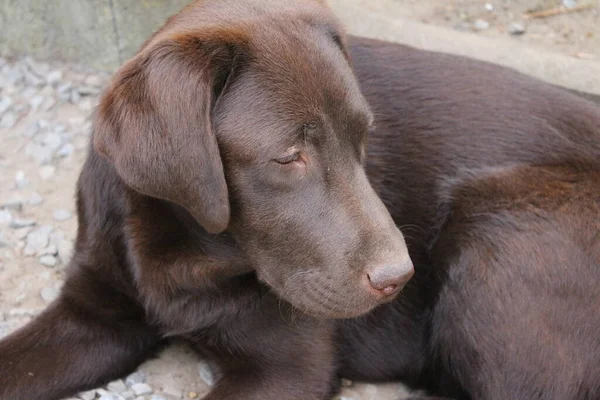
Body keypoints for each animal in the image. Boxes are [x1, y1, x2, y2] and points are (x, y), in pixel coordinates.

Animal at [1, 0, 600, 400]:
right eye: (289, 157)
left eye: (364, 137)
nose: (398, 277)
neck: (181, 256)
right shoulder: (92, 313)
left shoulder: (285, 368)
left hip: (498, 229)